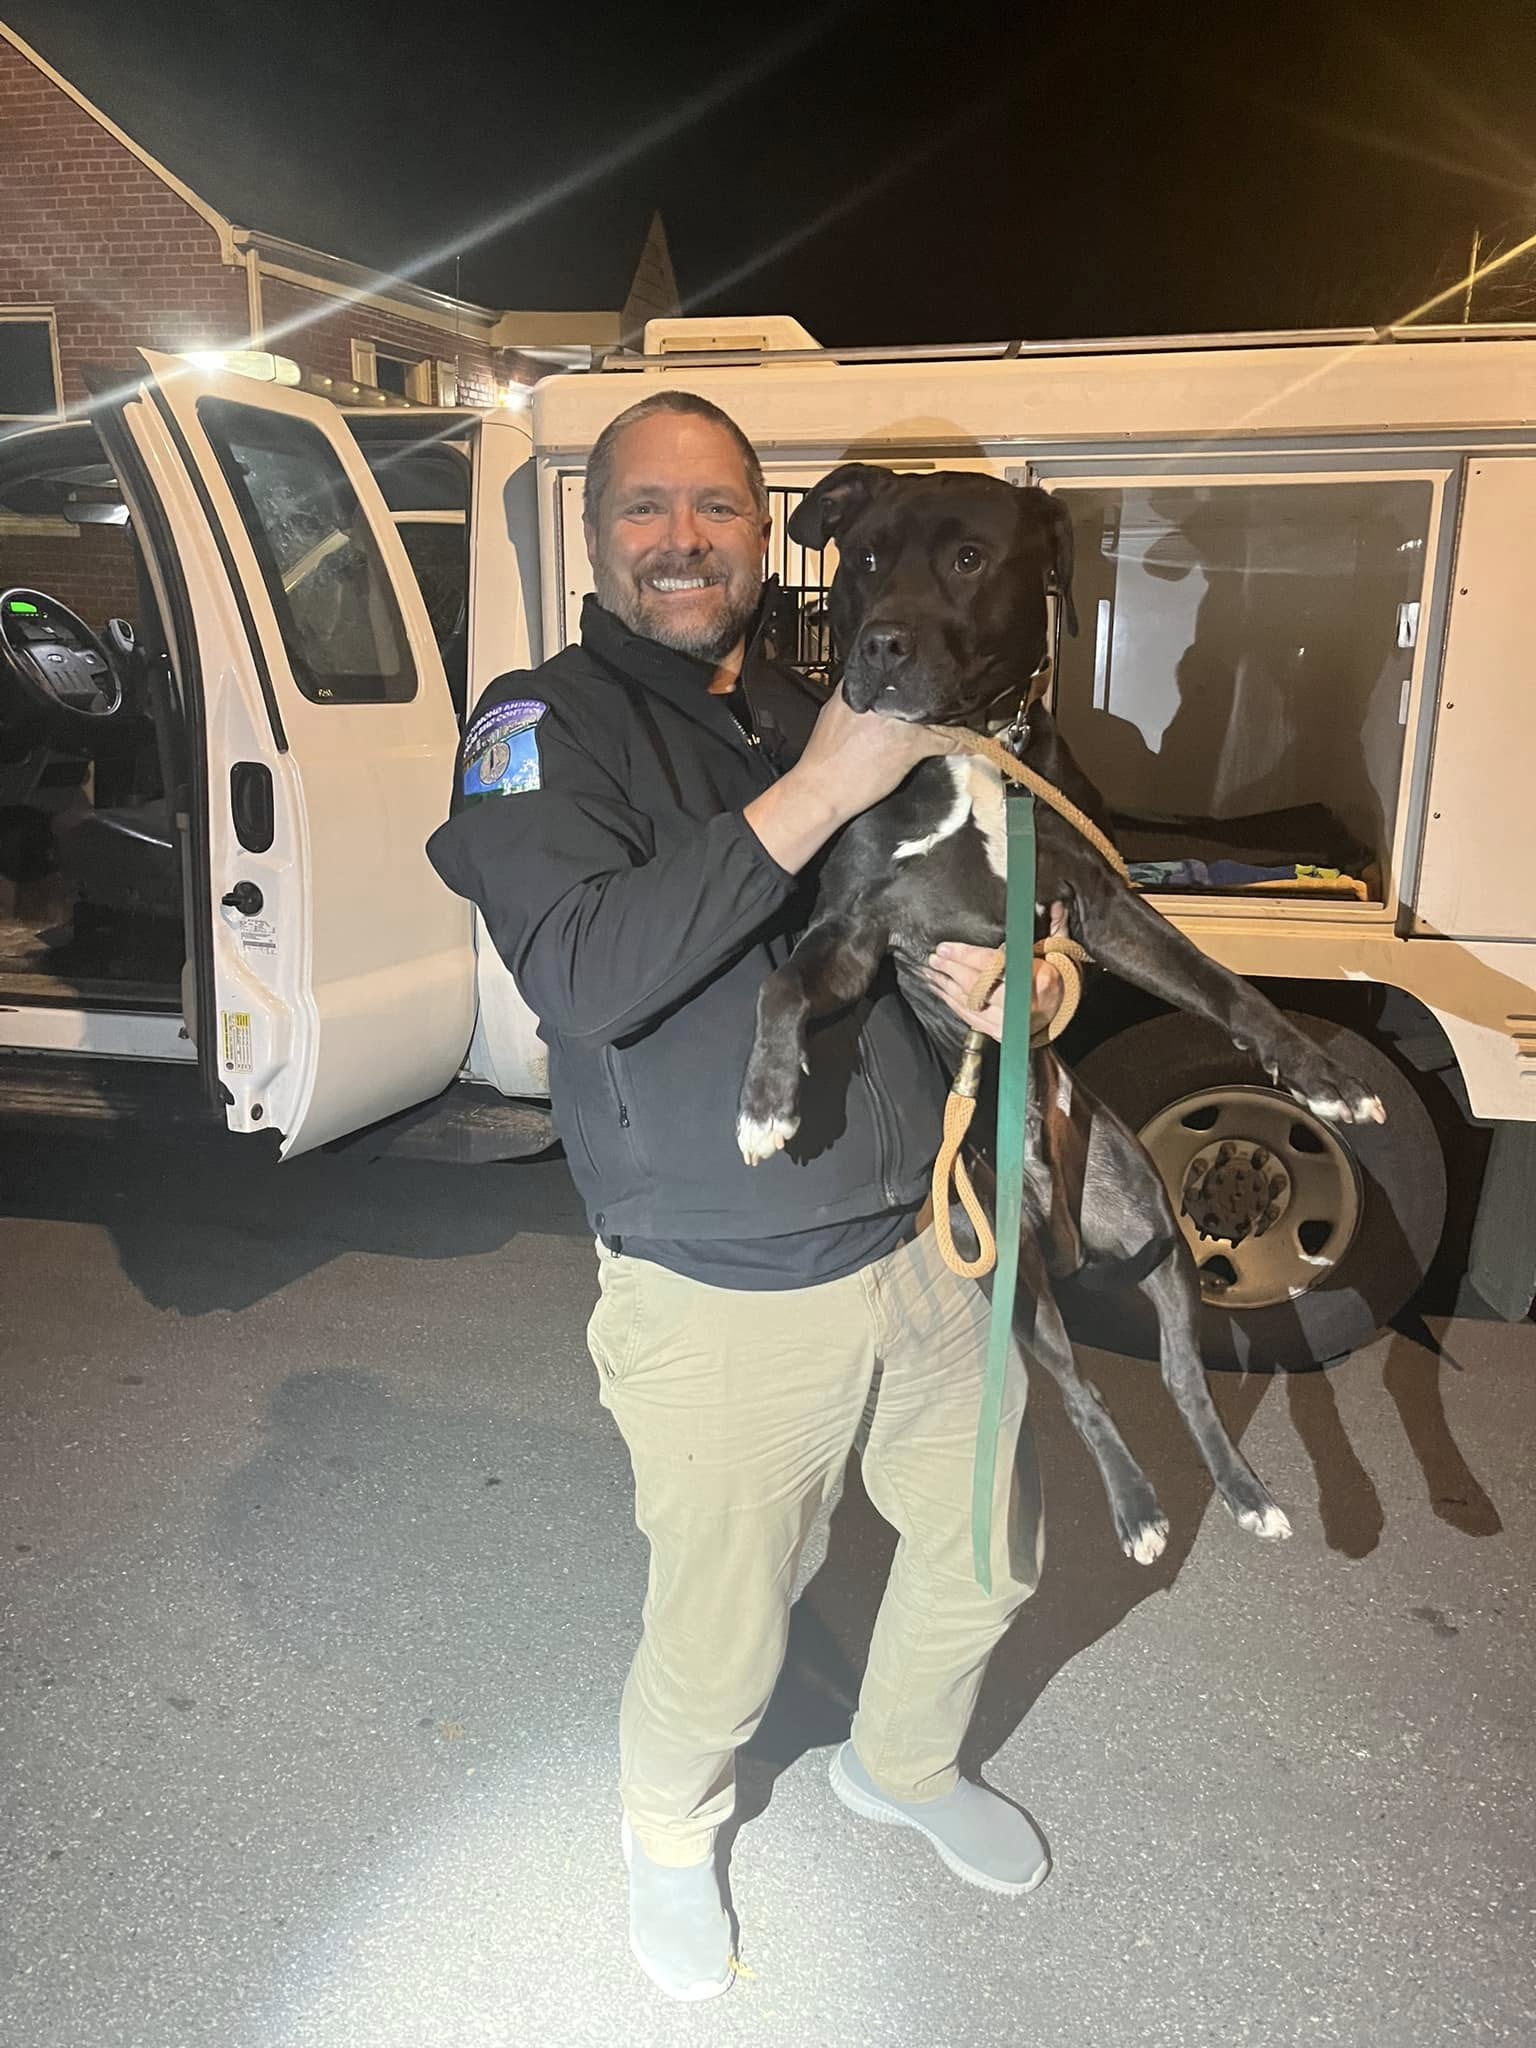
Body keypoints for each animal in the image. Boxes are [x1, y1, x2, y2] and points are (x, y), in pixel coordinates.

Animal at [741, 468, 1392, 1564]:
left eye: (968, 558)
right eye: (863, 556)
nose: (878, 645)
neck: (965, 752)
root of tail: (1059, 1216)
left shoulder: (1102, 904)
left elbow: (1224, 984)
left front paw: (1327, 1079)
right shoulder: (859, 929)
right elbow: (778, 983)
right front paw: (766, 1105)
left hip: (1165, 1240)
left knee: (1182, 1377)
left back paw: (1247, 1492)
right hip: (1013, 1286)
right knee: (1085, 1391)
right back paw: (1136, 1507)